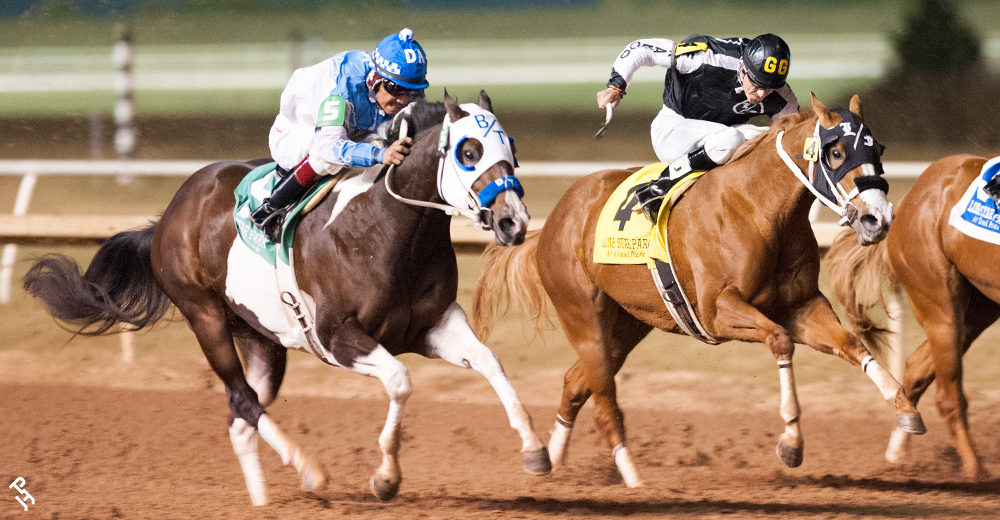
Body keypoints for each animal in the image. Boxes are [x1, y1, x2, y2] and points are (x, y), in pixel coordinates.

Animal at [23, 92, 552, 504]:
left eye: (511, 147)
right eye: (469, 150)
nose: (514, 221)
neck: (385, 227)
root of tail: (171, 212)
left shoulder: (432, 325)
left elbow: (489, 362)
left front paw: (535, 449)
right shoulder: (338, 336)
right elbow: (401, 381)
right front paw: (385, 477)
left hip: (261, 338)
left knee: (241, 416)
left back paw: (262, 501)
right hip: (205, 315)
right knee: (243, 400)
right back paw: (309, 469)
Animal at [472, 94, 924, 488]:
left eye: (878, 147)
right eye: (836, 152)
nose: (878, 218)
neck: (759, 207)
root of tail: (550, 223)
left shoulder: (801, 305)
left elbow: (851, 344)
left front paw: (904, 408)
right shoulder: (717, 311)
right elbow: (779, 341)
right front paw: (791, 442)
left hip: (625, 326)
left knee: (574, 382)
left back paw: (552, 460)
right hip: (582, 314)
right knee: (603, 400)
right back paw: (633, 478)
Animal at [828, 153, 1000, 480]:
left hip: (976, 309)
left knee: (916, 368)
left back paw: (899, 449)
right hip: (938, 302)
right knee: (948, 397)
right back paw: (976, 473)